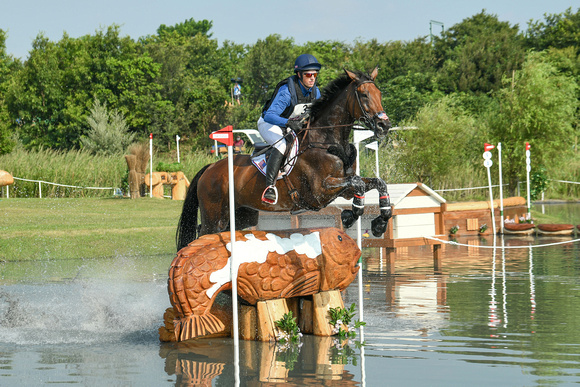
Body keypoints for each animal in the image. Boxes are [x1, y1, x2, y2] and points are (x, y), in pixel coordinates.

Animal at [176, 66, 394, 252]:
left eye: (380, 94)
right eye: (364, 95)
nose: (384, 126)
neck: (326, 141)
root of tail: (210, 167)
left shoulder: (344, 188)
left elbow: (375, 183)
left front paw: (379, 222)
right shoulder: (319, 192)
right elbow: (358, 183)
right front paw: (350, 216)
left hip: (242, 216)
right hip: (215, 216)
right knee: (203, 233)